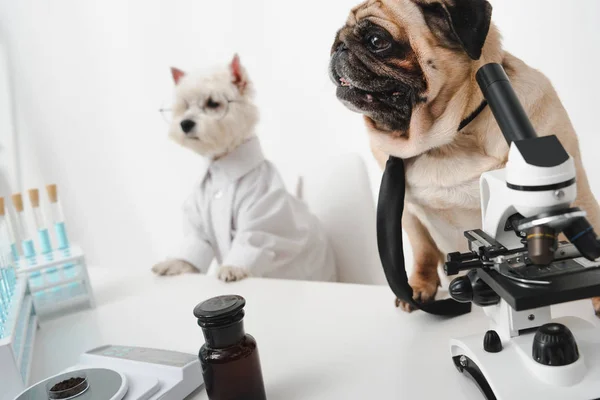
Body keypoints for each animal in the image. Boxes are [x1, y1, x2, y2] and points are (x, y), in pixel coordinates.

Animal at [151, 54, 338, 282]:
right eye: (184, 106)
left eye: (213, 103)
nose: (185, 123)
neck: (222, 166)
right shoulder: (197, 220)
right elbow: (196, 241)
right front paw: (173, 264)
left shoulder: (261, 211)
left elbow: (253, 237)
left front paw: (233, 268)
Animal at [330, 0, 600, 316]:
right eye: (337, 36)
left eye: (376, 40)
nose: (339, 46)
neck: (443, 141)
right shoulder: (408, 213)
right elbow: (423, 251)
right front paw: (419, 286)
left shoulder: (576, 193)